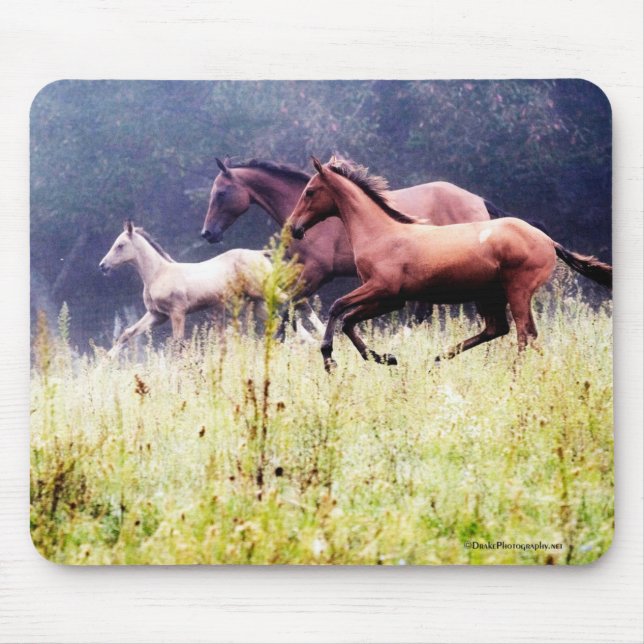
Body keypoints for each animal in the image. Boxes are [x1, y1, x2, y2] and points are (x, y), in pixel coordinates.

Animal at [98, 221, 317, 357]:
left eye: (120, 245)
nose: (103, 266)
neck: (158, 273)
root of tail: (259, 254)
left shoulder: (177, 312)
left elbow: (178, 343)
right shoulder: (157, 315)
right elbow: (127, 333)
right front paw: (104, 364)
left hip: (266, 290)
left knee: (298, 301)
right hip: (258, 303)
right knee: (281, 319)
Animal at [200, 157, 504, 326]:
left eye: (222, 193)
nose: (207, 233)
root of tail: (478, 201)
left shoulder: (318, 272)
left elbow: (293, 306)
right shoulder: (303, 270)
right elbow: (293, 303)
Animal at [288, 158, 612, 372]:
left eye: (310, 191)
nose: (294, 228)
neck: (381, 233)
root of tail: (549, 241)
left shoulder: (383, 290)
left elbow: (337, 309)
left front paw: (329, 359)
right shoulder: (391, 299)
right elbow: (348, 320)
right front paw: (385, 358)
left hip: (517, 290)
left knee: (524, 334)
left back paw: (514, 375)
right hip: (490, 295)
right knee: (499, 329)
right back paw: (437, 359)